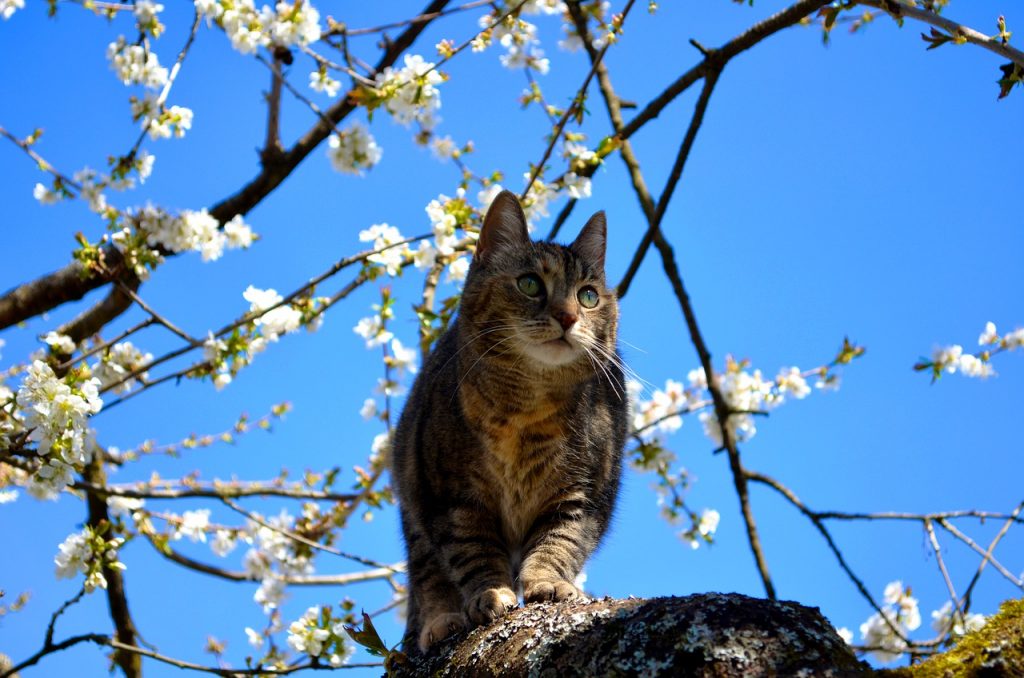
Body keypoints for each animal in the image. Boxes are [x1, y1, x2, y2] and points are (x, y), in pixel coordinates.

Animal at [391, 189, 626, 655]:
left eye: (588, 296)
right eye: (530, 283)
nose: (569, 316)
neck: (525, 412)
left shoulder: (580, 497)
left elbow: (559, 544)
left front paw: (549, 584)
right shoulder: (454, 499)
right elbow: (473, 553)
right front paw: (491, 593)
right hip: (413, 496)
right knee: (428, 574)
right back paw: (441, 620)